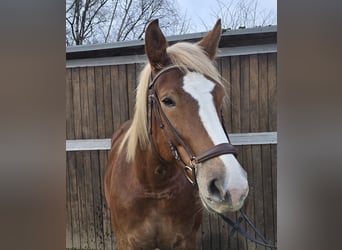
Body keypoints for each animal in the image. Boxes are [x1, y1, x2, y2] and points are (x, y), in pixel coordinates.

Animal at [104, 18, 248, 249]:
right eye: (167, 100)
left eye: (219, 97)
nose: (233, 187)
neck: (154, 186)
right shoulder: (127, 242)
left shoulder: (185, 240)